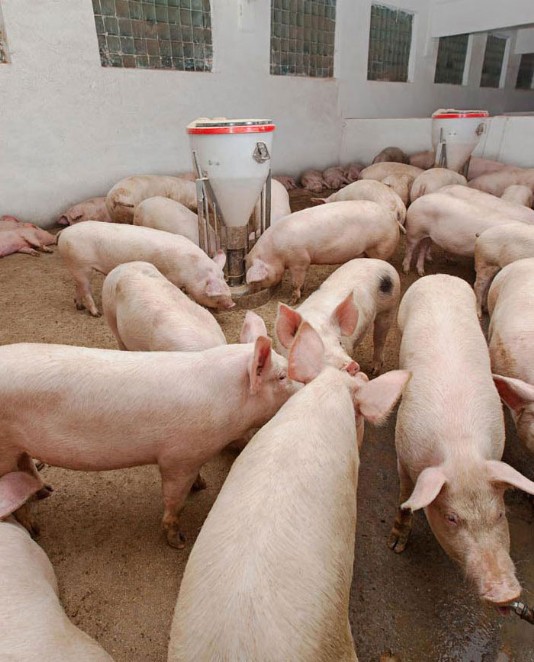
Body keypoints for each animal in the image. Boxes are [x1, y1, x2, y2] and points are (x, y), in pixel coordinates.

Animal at [0, 331, 303, 547]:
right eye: (281, 376)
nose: (306, 383)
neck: (225, 403)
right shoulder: (177, 458)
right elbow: (174, 499)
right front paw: (178, 541)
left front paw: (201, 485)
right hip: (4, 448)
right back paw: (36, 531)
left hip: (18, 447)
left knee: (26, 467)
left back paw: (45, 491)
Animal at [58, 221, 233, 316]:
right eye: (215, 295)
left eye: (225, 282)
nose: (232, 304)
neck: (190, 269)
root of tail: (63, 232)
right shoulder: (172, 276)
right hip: (81, 264)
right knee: (85, 288)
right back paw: (96, 314)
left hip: (76, 266)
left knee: (78, 286)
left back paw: (78, 306)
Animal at [246, 201, 400, 304]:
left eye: (255, 280)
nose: (252, 292)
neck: (276, 253)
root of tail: (392, 217)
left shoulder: (300, 260)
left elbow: (296, 283)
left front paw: (290, 302)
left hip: (380, 246)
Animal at [389, 274, 534, 606]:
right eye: (452, 518)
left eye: (500, 513)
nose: (505, 593)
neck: (460, 450)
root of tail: (438, 277)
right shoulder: (403, 452)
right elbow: (405, 496)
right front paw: (396, 547)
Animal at [403, 192, 534, 276]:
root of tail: (418, 200)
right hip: (415, 229)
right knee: (410, 247)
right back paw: (406, 270)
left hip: (428, 234)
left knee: (423, 247)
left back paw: (421, 272)